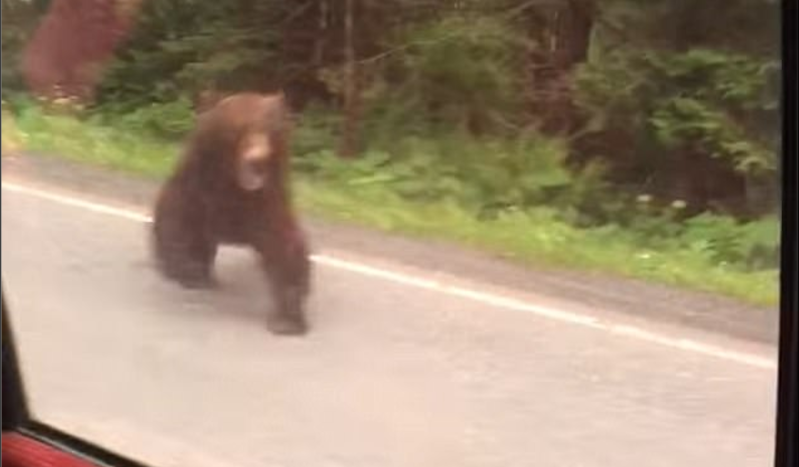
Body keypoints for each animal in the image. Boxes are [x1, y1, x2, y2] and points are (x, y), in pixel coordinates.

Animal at [151, 92, 312, 336]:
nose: (258, 159)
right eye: (240, 129)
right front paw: (191, 273)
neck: (233, 185)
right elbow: (180, 220)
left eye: (270, 130)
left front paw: (287, 321)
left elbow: (284, 246)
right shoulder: (199, 188)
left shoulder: (265, 202)